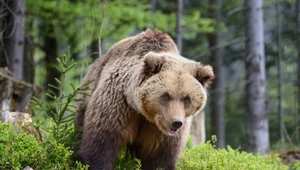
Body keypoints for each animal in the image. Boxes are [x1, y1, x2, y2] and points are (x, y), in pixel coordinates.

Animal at [76, 28, 214, 169]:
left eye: (186, 98)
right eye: (166, 95)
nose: (176, 122)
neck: (144, 112)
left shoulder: (162, 133)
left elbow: (160, 159)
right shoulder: (118, 106)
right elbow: (101, 146)